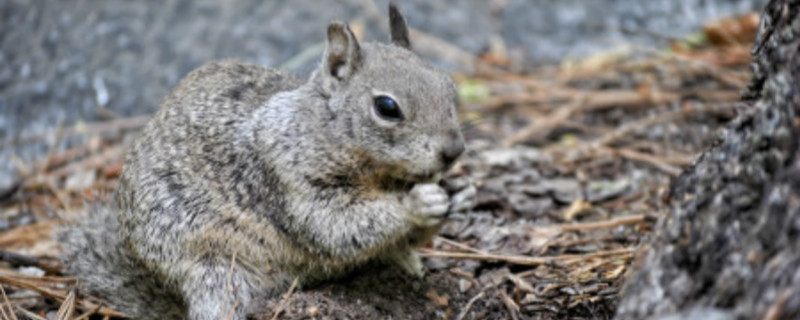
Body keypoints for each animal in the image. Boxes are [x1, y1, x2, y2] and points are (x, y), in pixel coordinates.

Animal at [62, 4, 478, 320]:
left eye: (449, 86)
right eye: (387, 107)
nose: (453, 151)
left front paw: (460, 195)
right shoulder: (290, 178)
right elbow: (336, 225)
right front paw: (416, 203)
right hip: (214, 269)